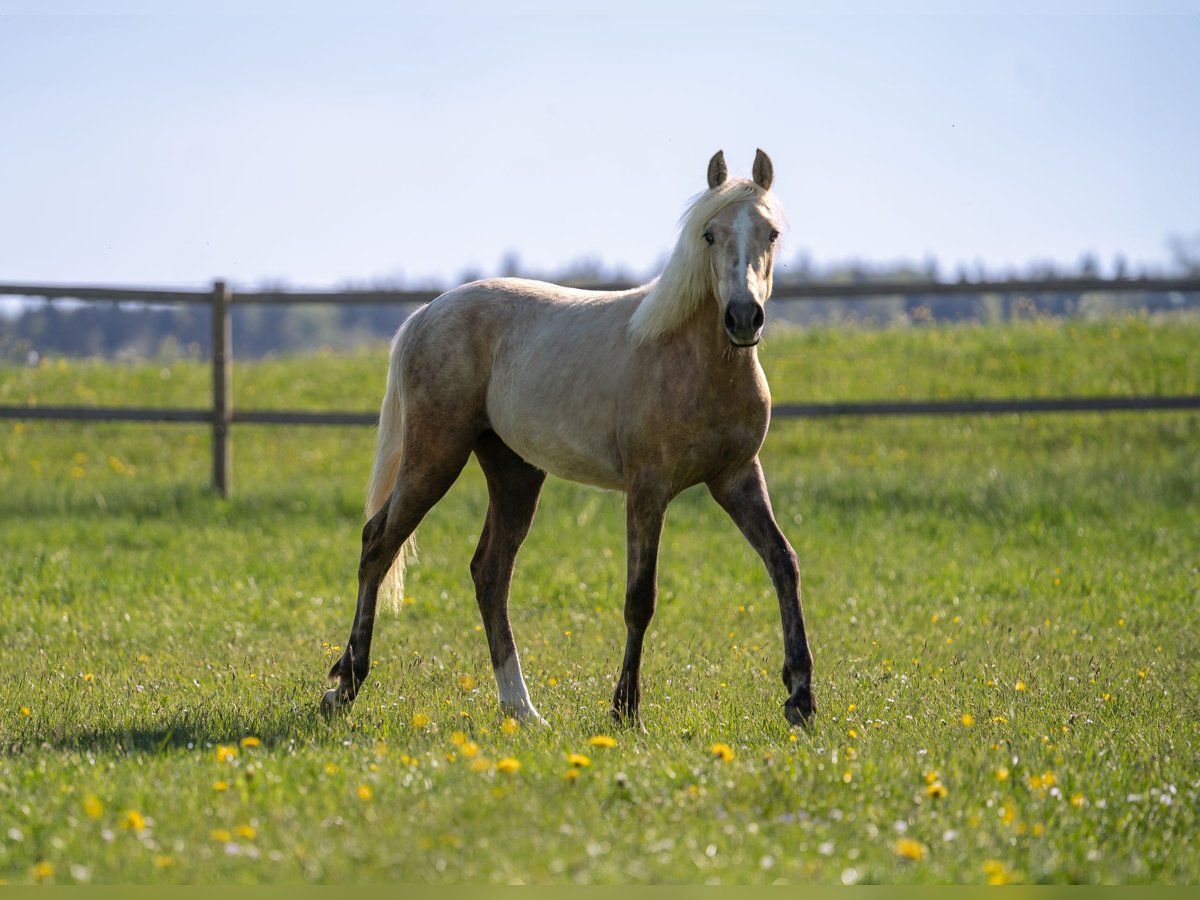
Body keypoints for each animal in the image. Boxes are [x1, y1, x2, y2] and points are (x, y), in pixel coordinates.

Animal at [321, 146, 816, 724]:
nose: (742, 317)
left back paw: (522, 708)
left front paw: (801, 696)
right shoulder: (648, 489)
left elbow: (784, 561)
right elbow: (640, 596)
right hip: (435, 457)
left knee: (489, 574)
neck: (691, 360)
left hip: (514, 473)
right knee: (378, 544)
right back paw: (345, 685)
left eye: (770, 233)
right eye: (710, 234)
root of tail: (425, 314)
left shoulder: (736, 477)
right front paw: (625, 708)